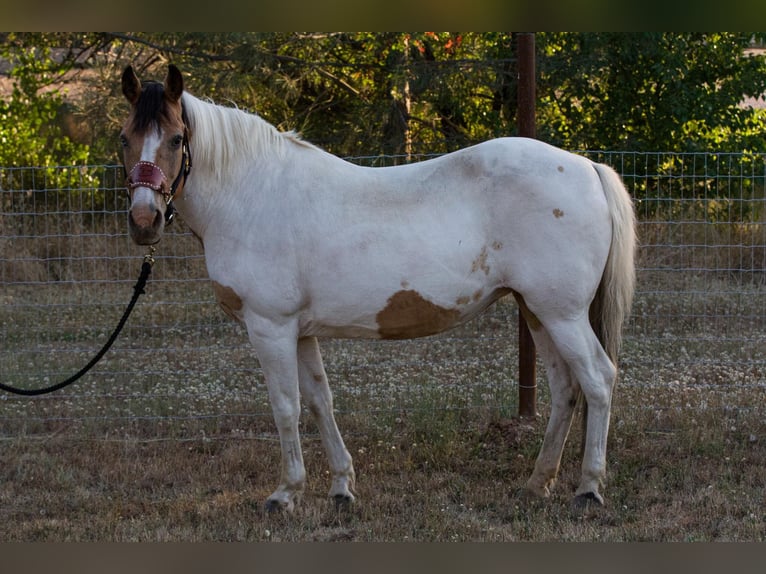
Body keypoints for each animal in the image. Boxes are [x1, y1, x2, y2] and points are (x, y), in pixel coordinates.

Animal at [118, 64, 636, 512]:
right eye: (125, 138)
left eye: (177, 138)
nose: (143, 221)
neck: (253, 193)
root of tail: (587, 168)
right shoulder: (301, 332)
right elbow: (320, 402)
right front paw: (341, 488)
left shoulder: (270, 327)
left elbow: (285, 407)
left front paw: (285, 494)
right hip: (536, 311)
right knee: (566, 387)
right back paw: (536, 483)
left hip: (562, 314)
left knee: (598, 379)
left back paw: (588, 488)